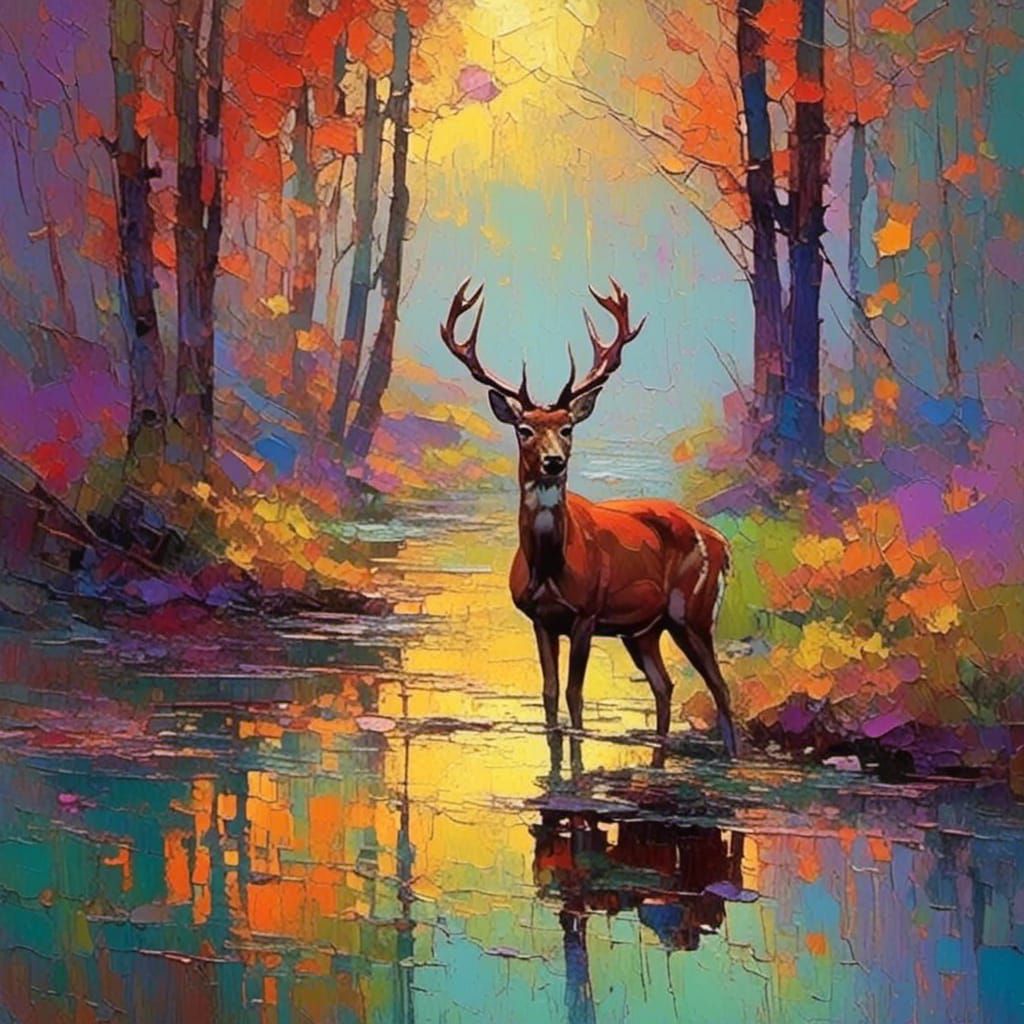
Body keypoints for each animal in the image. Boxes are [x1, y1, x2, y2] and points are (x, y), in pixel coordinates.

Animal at [440, 278, 738, 758]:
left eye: (568, 427)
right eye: (524, 429)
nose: (553, 462)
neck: (548, 567)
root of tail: (722, 543)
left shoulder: (586, 614)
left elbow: (575, 696)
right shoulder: (540, 618)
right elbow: (548, 694)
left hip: (693, 612)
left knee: (721, 690)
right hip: (643, 631)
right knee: (665, 686)